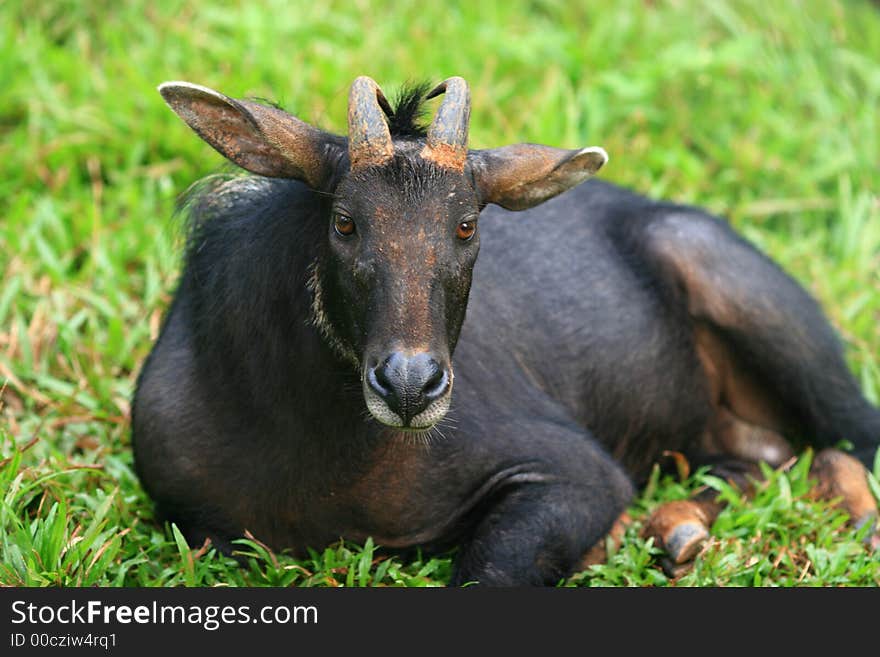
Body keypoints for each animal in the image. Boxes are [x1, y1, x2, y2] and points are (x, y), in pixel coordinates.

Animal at [132, 75, 880, 584]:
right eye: (344, 221)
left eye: (467, 225)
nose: (411, 385)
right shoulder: (196, 524)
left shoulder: (577, 471)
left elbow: (486, 569)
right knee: (765, 456)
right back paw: (677, 531)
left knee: (847, 441)